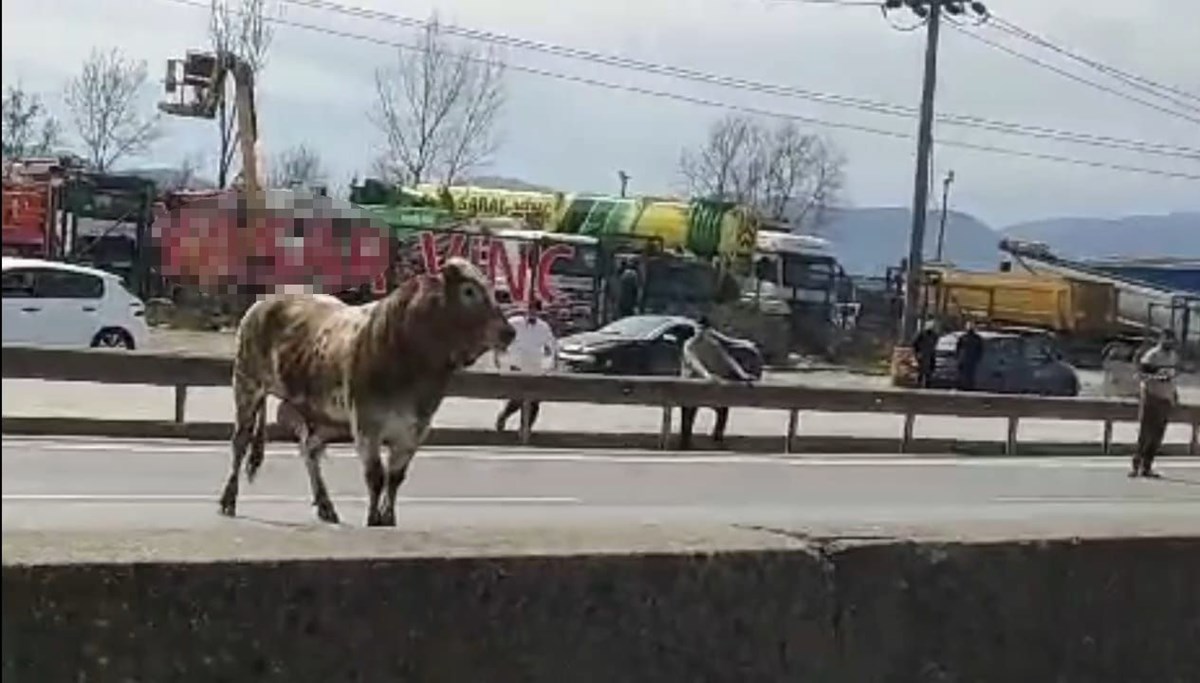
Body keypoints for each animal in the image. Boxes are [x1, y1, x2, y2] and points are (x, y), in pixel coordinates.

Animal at [220, 255, 516, 528]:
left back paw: (326, 506)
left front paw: (389, 518)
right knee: (240, 442)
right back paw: (228, 500)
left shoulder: (413, 432)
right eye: (469, 291)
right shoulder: (367, 427)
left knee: (309, 448)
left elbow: (395, 478)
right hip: (246, 386)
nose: (509, 332)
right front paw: (374, 519)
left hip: (325, 417)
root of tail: (264, 302)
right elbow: (376, 477)